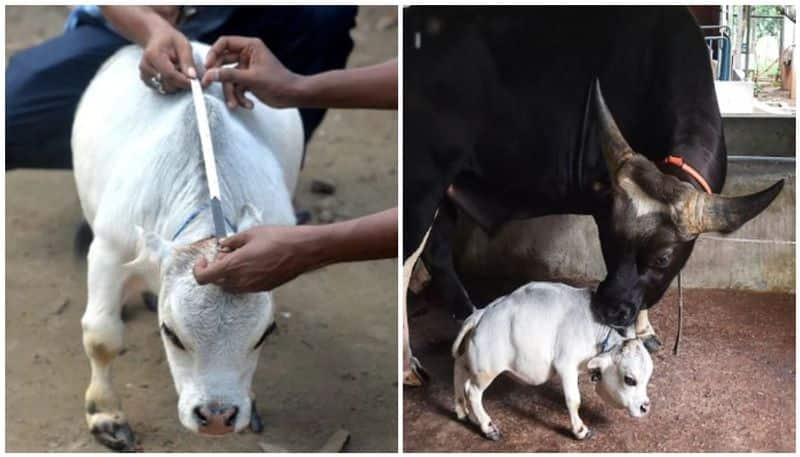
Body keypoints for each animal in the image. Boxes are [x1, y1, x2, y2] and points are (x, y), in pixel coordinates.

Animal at [72, 42, 304, 448]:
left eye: (265, 334)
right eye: (171, 334)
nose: (217, 416)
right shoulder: (109, 251)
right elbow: (102, 337)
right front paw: (105, 414)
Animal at [404, 6, 784, 382]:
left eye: (663, 257)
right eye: (610, 238)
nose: (608, 309)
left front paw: (645, 331)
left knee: (436, 253)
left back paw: (468, 313)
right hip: (422, 185)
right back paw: (409, 364)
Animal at [454, 280, 652, 440]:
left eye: (648, 378)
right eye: (629, 379)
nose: (645, 407)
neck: (595, 331)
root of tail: (481, 314)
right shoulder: (566, 365)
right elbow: (574, 399)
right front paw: (580, 430)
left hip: (469, 361)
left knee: (459, 371)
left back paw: (461, 410)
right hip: (486, 370)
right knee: (472, 391)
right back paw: (488, 428)